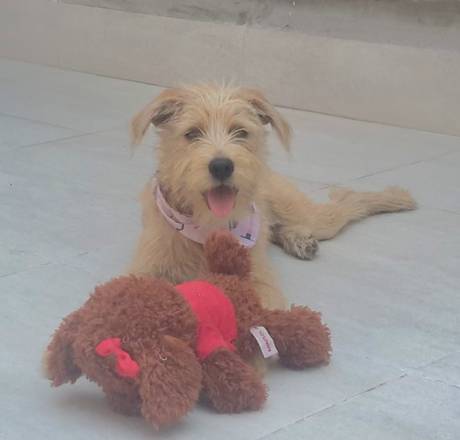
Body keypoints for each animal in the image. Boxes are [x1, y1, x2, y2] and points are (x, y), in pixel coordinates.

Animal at [127, 84, 416, 309]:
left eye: (241, 132)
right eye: (192, 133)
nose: (222, 166)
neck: (208, 227)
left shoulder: (260, 279)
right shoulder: (145, 268)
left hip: (311, 217)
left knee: (348, 201)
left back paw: (397, 197)